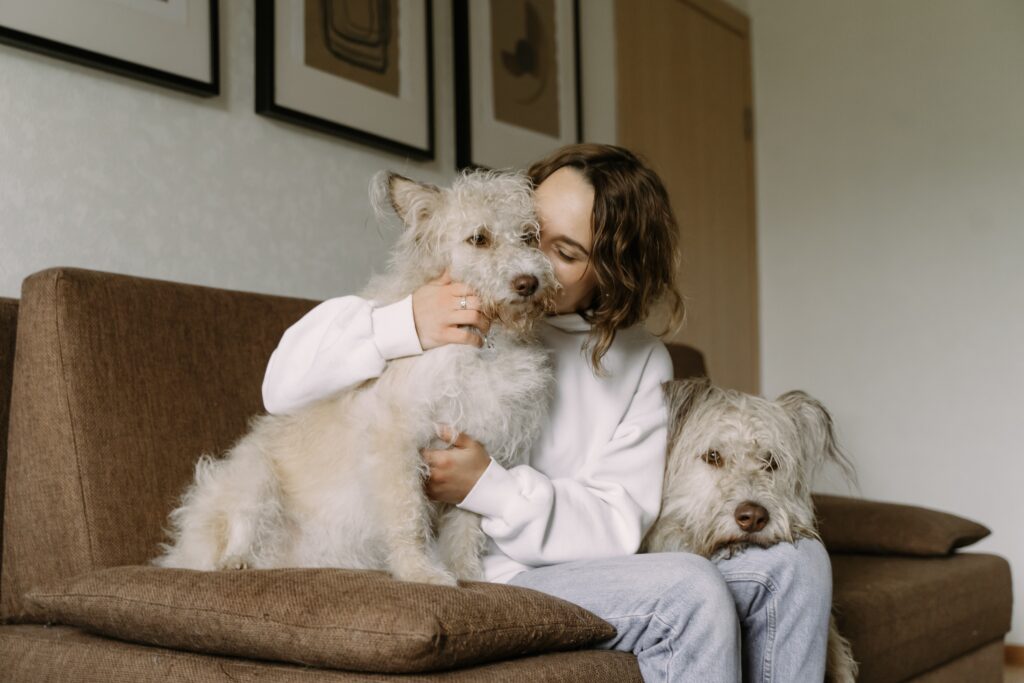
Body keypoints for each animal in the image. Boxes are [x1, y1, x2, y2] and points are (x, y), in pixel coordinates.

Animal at [153, 167, 561, 585]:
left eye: (529, 236)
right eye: (479, 238)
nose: (529, 283)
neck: (485, 341)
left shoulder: (480, 450)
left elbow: (465, 530)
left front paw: (469, 576)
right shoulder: (395, 441)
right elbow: (407, 517)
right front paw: (419, 572)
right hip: (251, 472)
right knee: (236, 526)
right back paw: (234, 561)